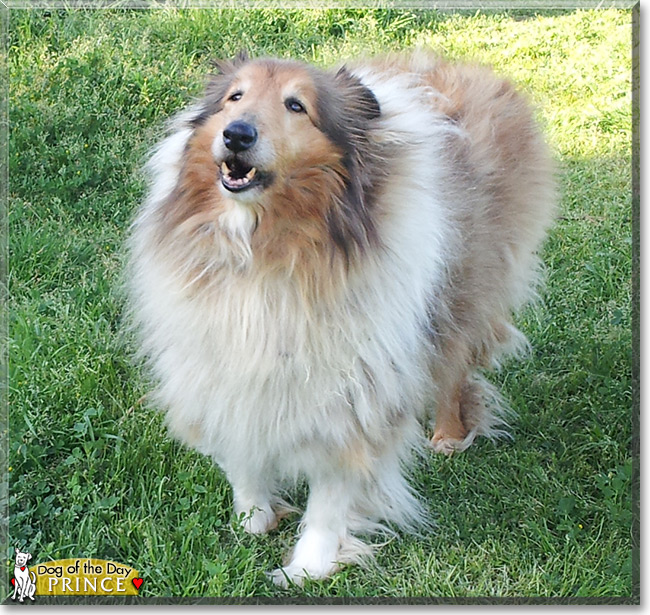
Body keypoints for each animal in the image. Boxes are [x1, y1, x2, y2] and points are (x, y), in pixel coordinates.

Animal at [125, 51, 552, 588]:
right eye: (234, 97)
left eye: (296, 105)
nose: (237, 134)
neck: (263, 250)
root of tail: (469, 68)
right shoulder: (226, 368)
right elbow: (242, 449)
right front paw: (254, 518)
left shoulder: (354, 394)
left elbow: (332, 493)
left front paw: (307, 566)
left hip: (463, 290)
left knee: (453, 366)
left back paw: (448, 436)